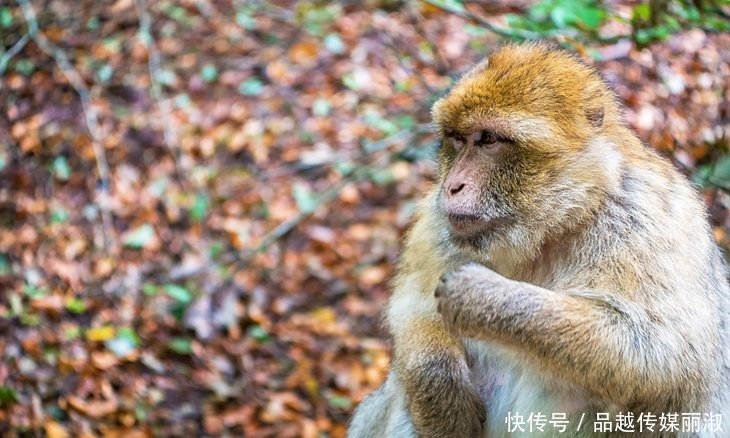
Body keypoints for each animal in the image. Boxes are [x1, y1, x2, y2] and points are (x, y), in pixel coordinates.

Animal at [346, 42, 728, 438]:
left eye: (488, 139)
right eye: (457, 138)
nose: (452, 186)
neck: (554, 226)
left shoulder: (649, 218)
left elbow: (668, 359)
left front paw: (487, 297)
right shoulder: (438, 223)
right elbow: (411, 305)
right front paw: (439, 385)